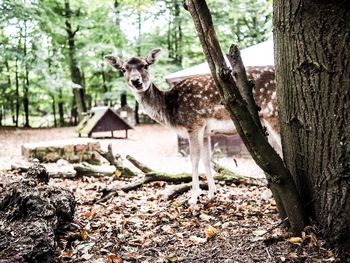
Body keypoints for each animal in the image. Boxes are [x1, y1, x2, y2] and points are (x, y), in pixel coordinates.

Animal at [105, 49, 278, 206]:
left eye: (146, 65)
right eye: (123, 69)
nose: (136, 81)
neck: (171, 109)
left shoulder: (194, 123)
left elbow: (194, 158)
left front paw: (194, 197)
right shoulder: (207, 132)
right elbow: (207, 159)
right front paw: (212, 193)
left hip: (272, 113)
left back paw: (267, 194)